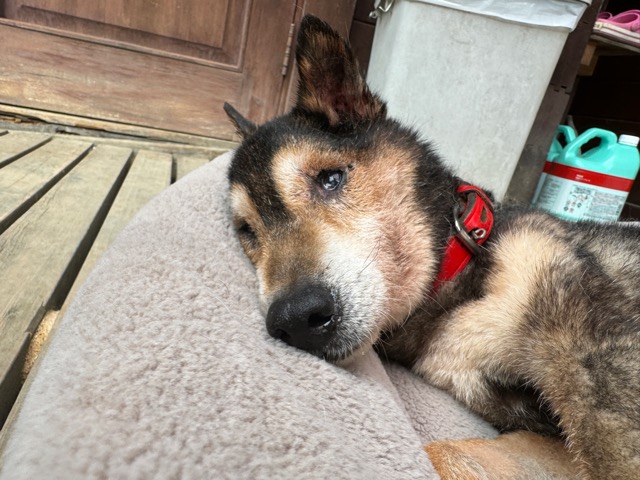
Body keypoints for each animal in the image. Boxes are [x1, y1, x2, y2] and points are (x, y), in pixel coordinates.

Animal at [225, 15, 640, 479]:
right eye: (247, 231)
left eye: (330, 178)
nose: (294, 318)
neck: (454, 285)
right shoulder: (536, 430)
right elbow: (446, 452)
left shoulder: (599, 367)